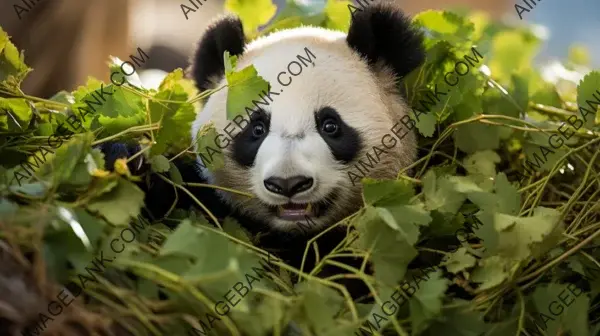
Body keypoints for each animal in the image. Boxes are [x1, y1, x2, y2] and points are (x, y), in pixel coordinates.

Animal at [101, 1, 424, 302]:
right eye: (256, 129)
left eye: (330, 125)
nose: (288, 184)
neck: (295, 236)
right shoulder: (211, 205)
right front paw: (124, 160)